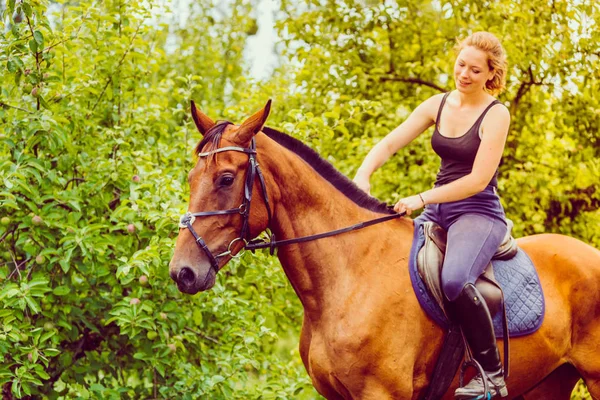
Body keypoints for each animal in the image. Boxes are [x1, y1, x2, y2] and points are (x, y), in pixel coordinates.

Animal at [168, 101, 600, 400]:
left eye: (226, 178)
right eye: (191, 177)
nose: (182, 272)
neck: (349, 275)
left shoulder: (381, 392)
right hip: (549, 383)